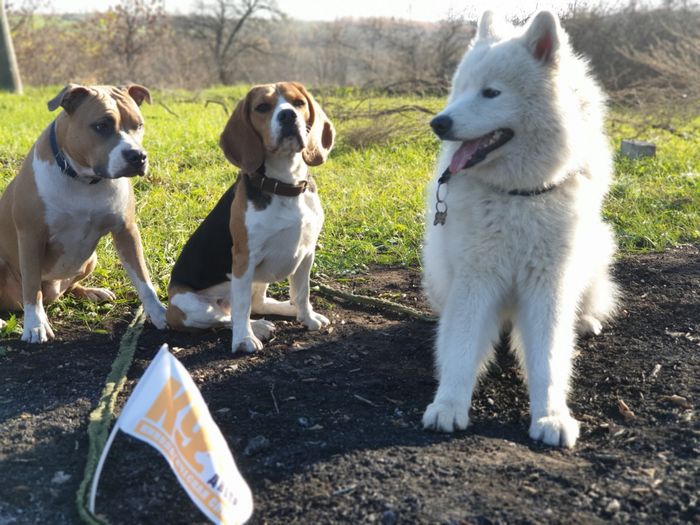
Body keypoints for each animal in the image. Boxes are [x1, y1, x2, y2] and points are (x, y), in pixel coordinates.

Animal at [0, 84, 168, 342]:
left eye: (139, 124)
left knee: (70, 287)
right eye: (101, 125)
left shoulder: (127, 231)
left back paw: (92, 292)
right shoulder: (30, 236)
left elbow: (143, 279)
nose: (138, 156)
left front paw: (158, 313)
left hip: (90, 259)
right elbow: (31, 287)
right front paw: (35, 325)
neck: (83, 179)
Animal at [167, 82, 336, 352]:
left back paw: (288, 309)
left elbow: (302, 291)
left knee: (258, 304)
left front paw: (307, 317)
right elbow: (242, 306)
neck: (284, 184)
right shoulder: (244, 258)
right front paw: (244, 339)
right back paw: (256, 327)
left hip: (259, 278)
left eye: (298, 102)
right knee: (229, 316)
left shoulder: (307, 251)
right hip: (191, 306)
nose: (288, 115)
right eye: (262, 107)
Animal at [422, 10, 616, 446]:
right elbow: (460, 348)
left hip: (594, 250)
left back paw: (586, 320)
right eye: (460, 89)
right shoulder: (475, 278)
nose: (438, 123)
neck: (518, 196)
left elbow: (548, 357)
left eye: (491, 93)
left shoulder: (547, 283)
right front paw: (448, 405)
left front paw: (551, 415)